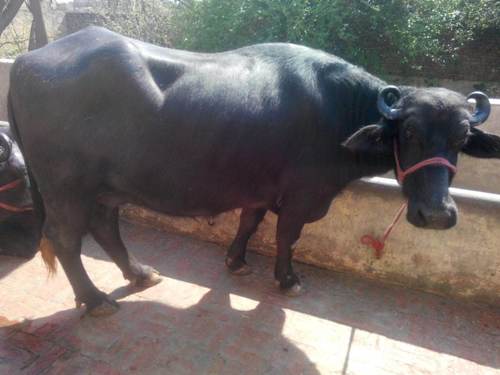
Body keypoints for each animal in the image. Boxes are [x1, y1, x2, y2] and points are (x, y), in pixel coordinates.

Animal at [7, 25, 500, 314]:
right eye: (410, 132)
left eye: (460, 139)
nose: (436, 215)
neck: (338, 112)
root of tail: (29, 63)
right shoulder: (302, 196)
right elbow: (287, 236)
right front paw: (288, 279)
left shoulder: (260, 188)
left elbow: (250, 221)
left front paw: (237, 261)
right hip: (65, 186)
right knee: (65, 239)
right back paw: (95, 300)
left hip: (106, 186)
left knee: (106, 227)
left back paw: (141, 273)